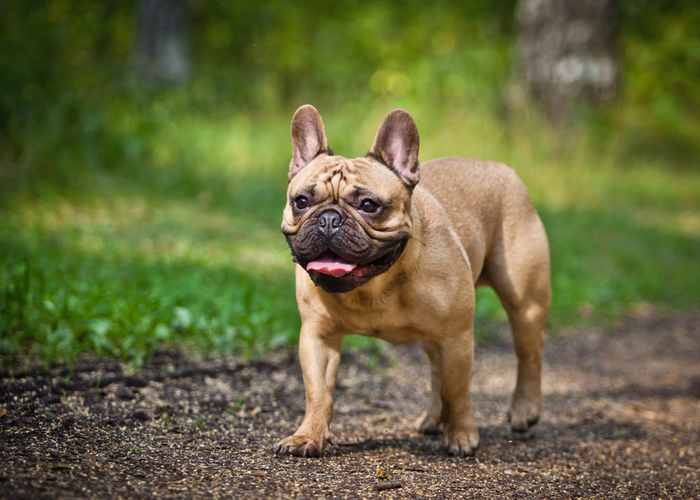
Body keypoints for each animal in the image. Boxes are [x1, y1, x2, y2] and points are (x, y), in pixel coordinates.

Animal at [276, 105, 548, 458]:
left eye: (368, 205)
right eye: (301, 202)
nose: (329, 219)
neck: (373, 288)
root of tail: (504, 169)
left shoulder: (457, 337)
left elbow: (457, 390)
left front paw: (461, 435)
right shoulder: (317, 337)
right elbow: (318, 392)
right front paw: (308, 436)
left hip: (524, 303)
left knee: (529, 352)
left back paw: (524, 410)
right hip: (434, 336)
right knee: (436, 370)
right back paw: (433, 418)